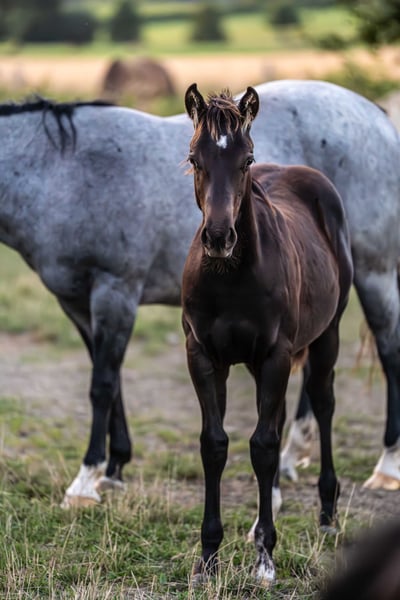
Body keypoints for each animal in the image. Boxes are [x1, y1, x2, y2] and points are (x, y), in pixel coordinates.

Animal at [0, 79, 399, 508]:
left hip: (374, 273)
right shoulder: (77, 304)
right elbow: (111, 379)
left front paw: (86, 480)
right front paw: (115, 467)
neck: (63, 172)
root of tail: (377, 116)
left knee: (387, 350)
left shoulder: (115, 291)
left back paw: (387, 466)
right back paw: (291, 456)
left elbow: (102, 385)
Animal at [181, 83, 353, 585]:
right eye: (195, 158)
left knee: (322, 403)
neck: (230, 277)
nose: (220, 237)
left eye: (247, 160)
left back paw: (327, 514)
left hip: (326, 336)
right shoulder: (203, 356)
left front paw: (265, 559)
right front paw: (208, 559)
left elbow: (262, 446)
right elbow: (215, 445)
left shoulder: (276, 355)